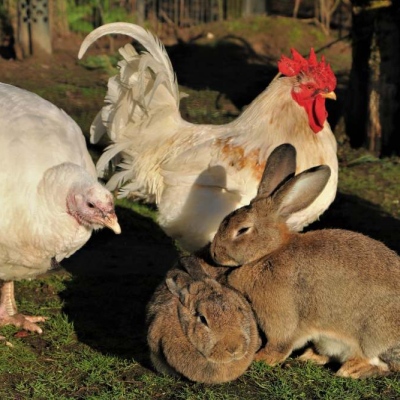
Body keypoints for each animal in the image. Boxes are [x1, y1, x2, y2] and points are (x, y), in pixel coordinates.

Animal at [211, 143, 400, 378]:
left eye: (242, 230)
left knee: (381, 362)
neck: (269, 253)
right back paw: (311, 356)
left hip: (375, 334)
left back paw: (350, 370)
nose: (214, 253)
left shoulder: (282, 316)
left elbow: (280, 344)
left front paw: (260, 358)